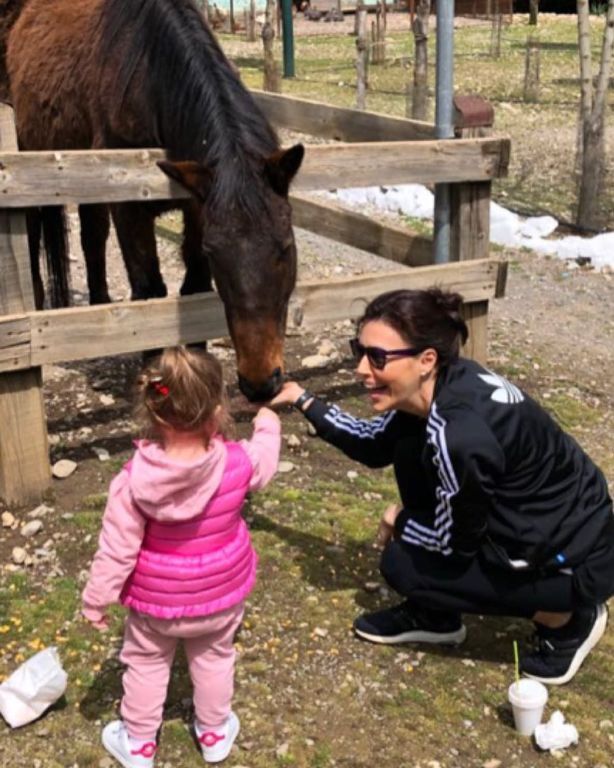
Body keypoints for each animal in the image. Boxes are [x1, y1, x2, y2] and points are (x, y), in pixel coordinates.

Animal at [4, 1, 304, 402]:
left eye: (285, 247)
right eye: (216, 253)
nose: (260, 383)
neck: (149, 74)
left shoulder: (197, 208)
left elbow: (193, 288)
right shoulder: (130, 208)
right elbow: (149, 291)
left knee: (92, 236)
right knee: (35, 228)